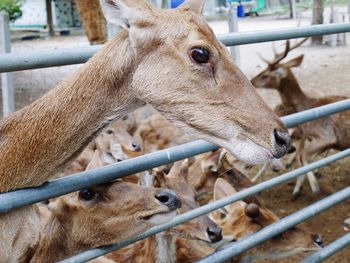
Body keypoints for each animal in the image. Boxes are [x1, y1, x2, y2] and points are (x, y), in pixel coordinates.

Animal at [250, 38, 350, 197]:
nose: (252, 81)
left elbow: (302, 156)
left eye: (265, 74)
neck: (306, 107)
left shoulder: (326, 136)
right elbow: (301, 156)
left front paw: (311, 187)